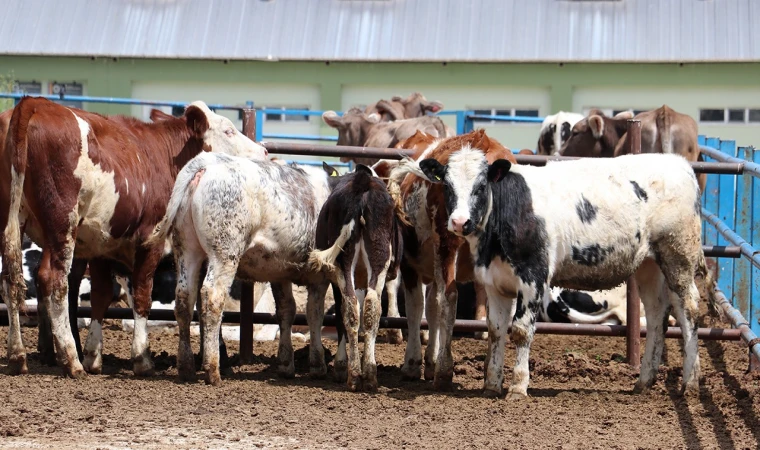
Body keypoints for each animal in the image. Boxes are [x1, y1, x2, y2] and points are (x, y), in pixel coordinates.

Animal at [0, 96, 268, 378]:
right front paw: (142, 358)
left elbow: (101, 296)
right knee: (56, 283)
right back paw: (70, 359)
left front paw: (94, 355)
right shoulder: (152, 241)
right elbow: (143, 295)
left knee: (12, 281)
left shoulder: (101, 244)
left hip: (15, 222)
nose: (264, 152)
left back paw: (21, 355)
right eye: (228, 130)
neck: (167, 157)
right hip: (63, 226)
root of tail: (35, 104)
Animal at [148, 153, 336, 384]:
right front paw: (318, 365)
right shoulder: (319, 276)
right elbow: (314, 314)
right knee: (212, 297)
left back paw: (186, 367)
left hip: (187, 250)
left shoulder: (279, 273)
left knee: (185, 299)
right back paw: (213, 370)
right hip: (224, 253)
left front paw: (286, 364)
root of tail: (206, 163)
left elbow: (286, 311)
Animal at [308, 163, 404, 390]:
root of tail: (362, 182)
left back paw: (355, 373)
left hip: (345, 264)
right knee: (366, 308)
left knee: (352, 307)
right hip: (375, 261)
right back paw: (365, 373)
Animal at [410, 150, 712, 398]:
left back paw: (690, 383)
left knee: (689, 310)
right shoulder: (495, 282)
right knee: (657, 314)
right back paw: (644, 381)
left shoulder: (533, 278)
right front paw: (492, 386)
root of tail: (679, 163)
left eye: (481, 185)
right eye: (447, 185)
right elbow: (496, 331)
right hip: (649, 266)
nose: (460, 222)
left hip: (679, 256)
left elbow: (520, 331)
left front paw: (518, 387)